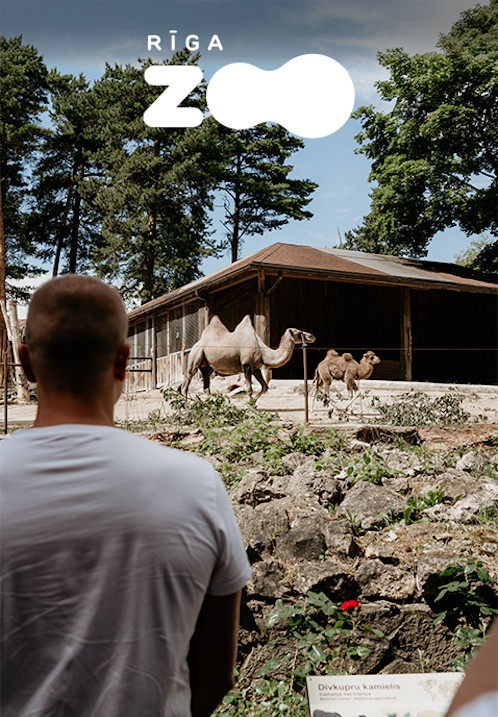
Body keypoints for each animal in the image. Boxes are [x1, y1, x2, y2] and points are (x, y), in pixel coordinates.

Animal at [181, 314, 318, 398]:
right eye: (299, 332)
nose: (312, 336)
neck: (262, 350)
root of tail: (196, 344)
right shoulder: (246, 364)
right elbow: (249, 388)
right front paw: (249, 407)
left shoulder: (256, 368)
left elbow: (264, 387)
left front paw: (253, 404)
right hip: (196, 355)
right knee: (187, 381)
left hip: (206, 365)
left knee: (206, 386)